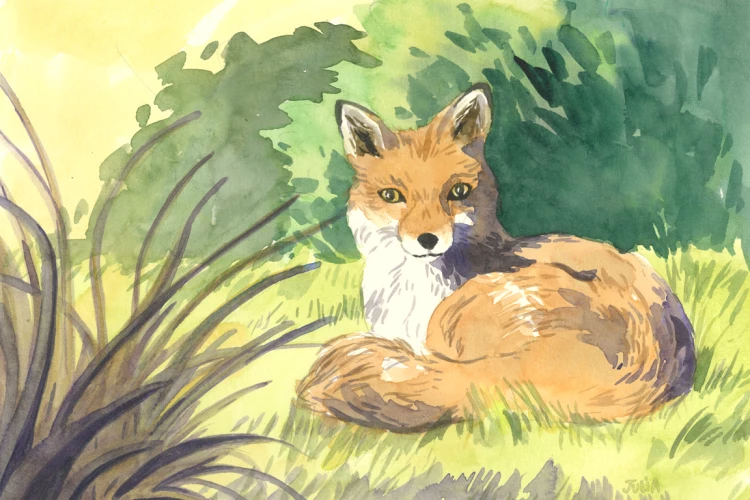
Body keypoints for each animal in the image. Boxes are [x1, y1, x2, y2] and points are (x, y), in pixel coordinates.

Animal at [296, 83, 696, 432]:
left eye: (458, 192)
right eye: (392, 196)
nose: (428, 239)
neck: (412, 290)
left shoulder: (431, 343)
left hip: (457, 315)